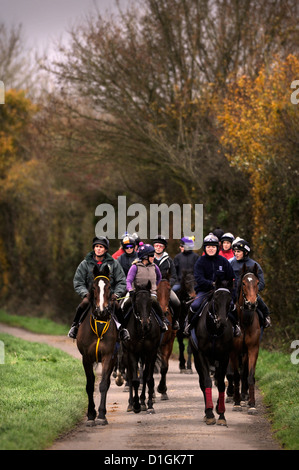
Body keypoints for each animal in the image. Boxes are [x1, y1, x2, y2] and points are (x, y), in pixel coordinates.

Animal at [77, 264, 119, 426]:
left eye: (109, 287)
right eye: (94, 287)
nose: (102, 311)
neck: (99, 323)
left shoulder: (108, 356)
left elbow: (103, 385)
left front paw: (101, 415)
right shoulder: (86, 358)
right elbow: (90, 386)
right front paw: (90, 415)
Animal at [122, 280, 162, 414]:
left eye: (150, 302)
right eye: (137, 303)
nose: (146, 324)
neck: (142, 332)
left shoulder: (151, 352)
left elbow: (148, 378)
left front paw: (149, 405)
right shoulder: (132, 352)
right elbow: (134, 380)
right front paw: (136, 405)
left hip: (144, 355)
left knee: (144, 376)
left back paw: (143, 402)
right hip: (126, 353)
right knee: (130, 376)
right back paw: (130, 404)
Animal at [191, 280, 236, 426]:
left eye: (230, 300)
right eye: (215, 299)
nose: (221, 322)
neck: (215, 331)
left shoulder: (224, 356)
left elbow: (221, 383)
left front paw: (221, 414)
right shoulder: (202, 355)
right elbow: (206, 382)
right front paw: (210, 413)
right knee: (202, 382)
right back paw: (207, 412)